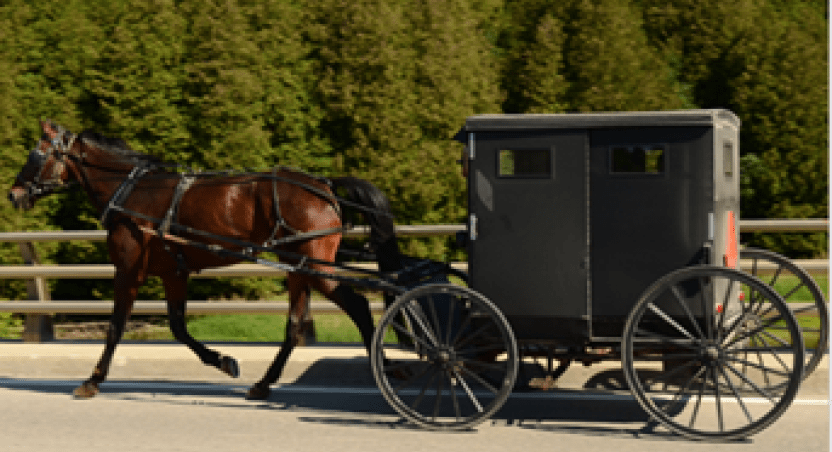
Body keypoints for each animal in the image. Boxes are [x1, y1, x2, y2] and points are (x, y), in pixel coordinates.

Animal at [7, 120, 404, 400]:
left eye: (36, 154)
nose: (13, 194)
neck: (131, 192)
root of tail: (323, 185)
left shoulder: (128, 271)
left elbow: (116, 327)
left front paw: (92, 380)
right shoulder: (173, 273)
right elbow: (178, 327)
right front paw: (224, 361)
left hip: (316, 266)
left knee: (357, 306)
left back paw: (385, 367)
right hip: (298, 268)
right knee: (295, 324)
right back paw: (264, 383)